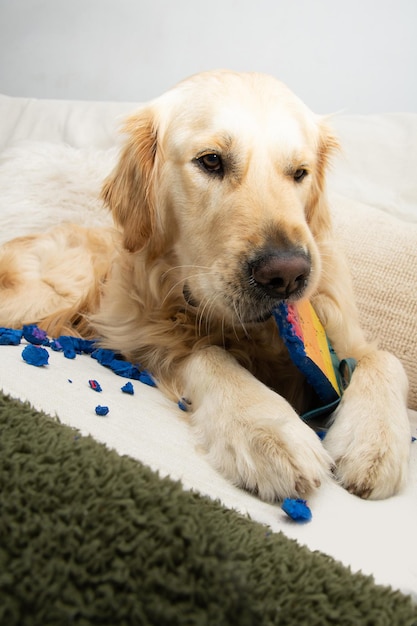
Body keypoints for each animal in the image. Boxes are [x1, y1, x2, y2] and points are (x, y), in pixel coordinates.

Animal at [0, 70, 410, 500]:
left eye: (300, 172)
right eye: (211, 160)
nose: (287, 275)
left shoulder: (341, 338)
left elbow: (385, 360)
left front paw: (373, 441)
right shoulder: (139, 334)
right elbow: (209, 354)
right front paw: (267, 428)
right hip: (50, 294)